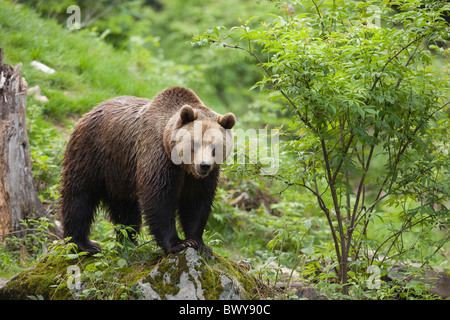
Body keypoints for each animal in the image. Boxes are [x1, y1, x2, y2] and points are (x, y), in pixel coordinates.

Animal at [59, 86, 236, 256]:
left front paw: (200, 245)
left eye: (215, 146)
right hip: (93, 154)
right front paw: (178, 244)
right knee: (79, 197)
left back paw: (128, 243)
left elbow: (197, 203)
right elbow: (159, 198)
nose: (204, 165)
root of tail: (90, 110)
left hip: (121, 174)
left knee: (126, 209)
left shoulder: (201, 178)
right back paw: (83, 244)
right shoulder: (157, 157)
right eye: (195, 143)